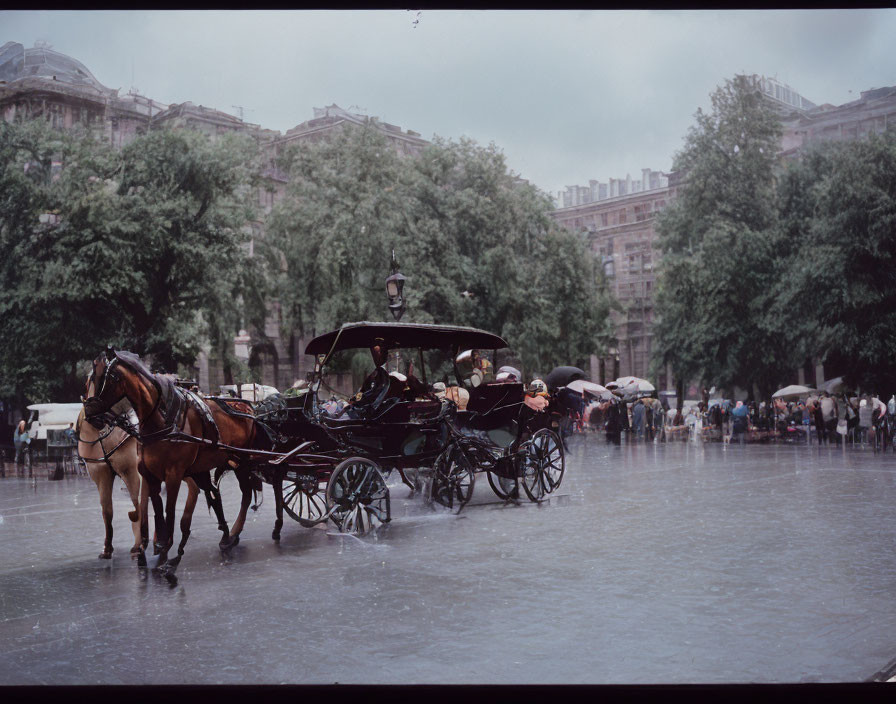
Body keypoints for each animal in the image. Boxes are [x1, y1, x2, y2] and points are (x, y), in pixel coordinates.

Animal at [81, 348, 260, 572]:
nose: (91, 414)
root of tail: (247, 407)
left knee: (245, 492)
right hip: (212, 465)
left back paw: (234, 531)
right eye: (91, 379)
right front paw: (158, 547)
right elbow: (157, 510)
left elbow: (169, 511)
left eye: (110, 377)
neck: (163, 421)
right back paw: (227, 535)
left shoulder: (172, 475)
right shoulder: (150, 475)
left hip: (241, 460)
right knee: (213, 493)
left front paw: (166, 552)